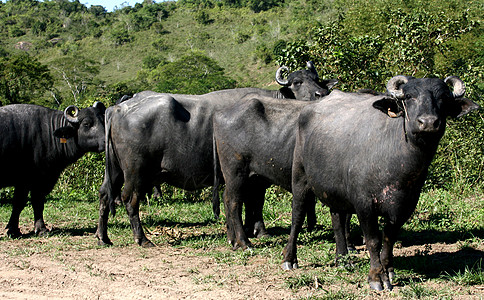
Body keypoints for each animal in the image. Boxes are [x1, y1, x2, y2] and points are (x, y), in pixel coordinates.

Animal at [0, 103, 106, 237]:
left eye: (103, 120)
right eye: (86, 124)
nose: (106, 140)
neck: (49, 134)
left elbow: (37, 203)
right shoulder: (27, 181)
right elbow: (23, 203)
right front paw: (16, 229)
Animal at [94, 62, 336, 246]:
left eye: (316, 79)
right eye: (297, 82)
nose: (322, 93)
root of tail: (118, 108)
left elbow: (250, 203)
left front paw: (248, 230)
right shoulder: (256, 177)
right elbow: (255, 202)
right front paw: (258, 231)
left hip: (115, 169)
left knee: (105, 194)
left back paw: (103, 237)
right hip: (136, 172)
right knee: (129, 199)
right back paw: (142, 239)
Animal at [282, 75, 478, 290]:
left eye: (443, 97)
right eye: (409, 96)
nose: (428, 122)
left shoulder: (403, 207)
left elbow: (389, 239)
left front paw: (389, 271)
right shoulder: (364, 205)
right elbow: (373, 241)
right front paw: (377, 277)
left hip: (335, 191)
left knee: (336, 220)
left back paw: (342, 259)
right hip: (300, 178)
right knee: (297, 217)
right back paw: (290, 258)